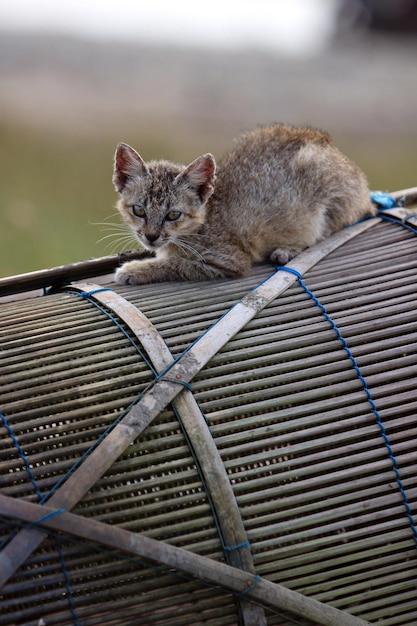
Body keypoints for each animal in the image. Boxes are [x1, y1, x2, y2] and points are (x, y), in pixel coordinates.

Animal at [111, 122, 374, 282]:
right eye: (139, 210)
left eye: (173, 215)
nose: (151, 236)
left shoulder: (227, 260)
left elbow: (177, 264)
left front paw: (134, 269)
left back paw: (288, 249)